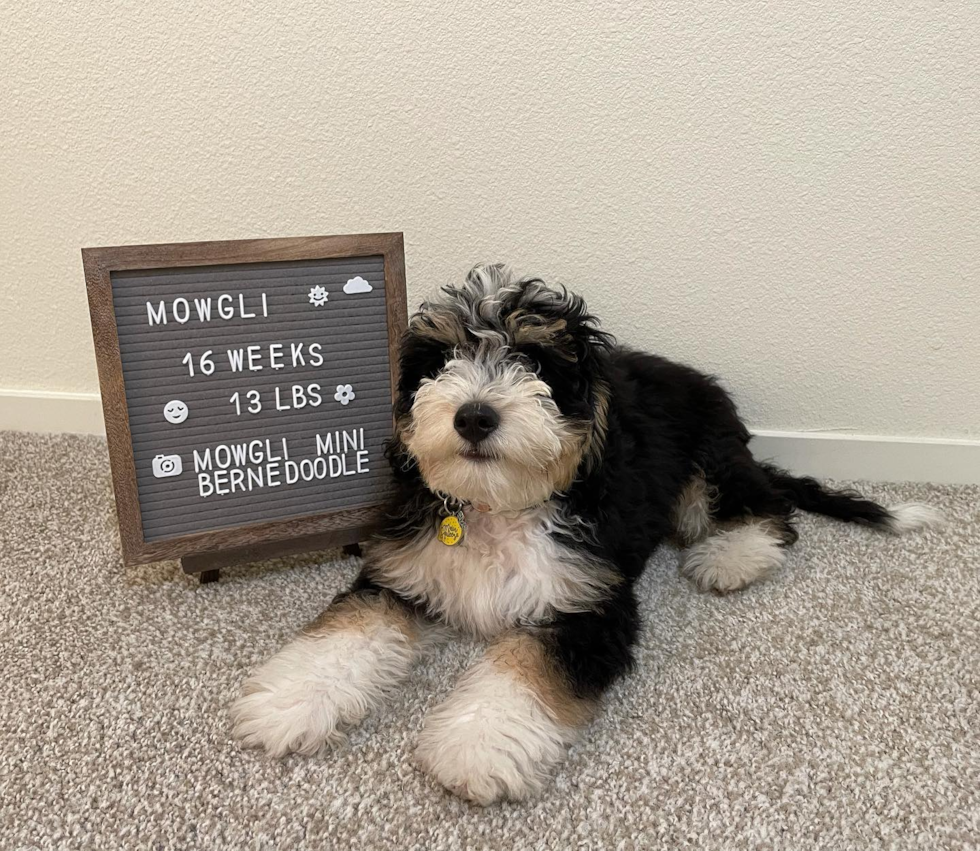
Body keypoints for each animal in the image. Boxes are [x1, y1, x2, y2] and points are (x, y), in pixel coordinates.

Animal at [230, 264, 940, 804]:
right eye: (443, 360)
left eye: (535, 361)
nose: (474, 416)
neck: (502, 505)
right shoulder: (403, 569)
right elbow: (349, 630)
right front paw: (289, 700)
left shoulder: (587, 602)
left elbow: (523, 668)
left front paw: (476, 747)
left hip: (705, 469)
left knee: (764, 507)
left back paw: (732, 556)